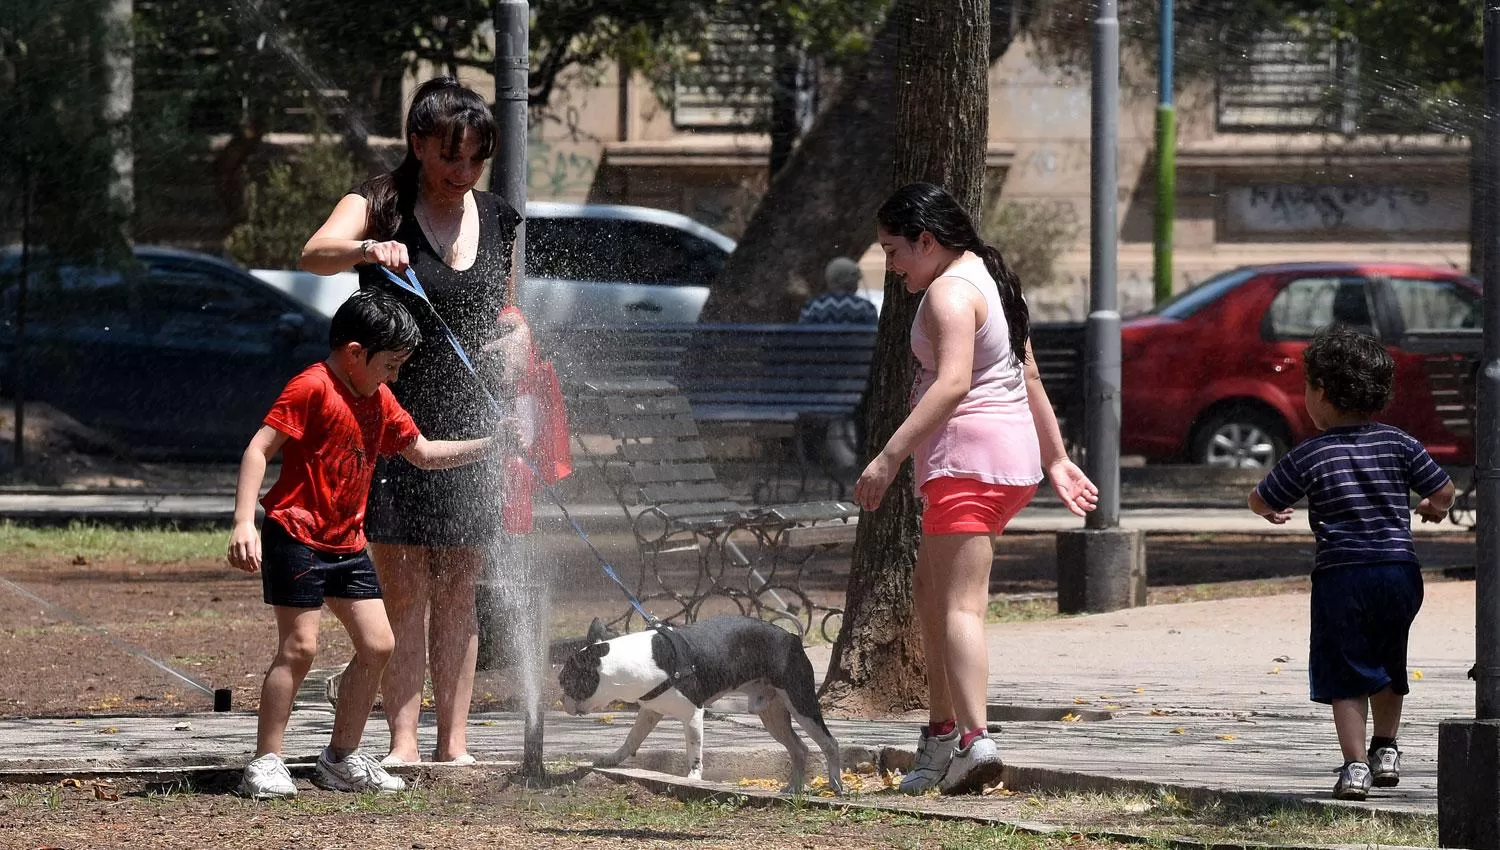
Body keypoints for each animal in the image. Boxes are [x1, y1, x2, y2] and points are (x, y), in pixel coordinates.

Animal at [564, 614, 846, 797]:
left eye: (567, 681)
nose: (562, 697)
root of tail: (792, 637)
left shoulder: (692, 713)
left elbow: (694, 750)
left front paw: (693, 778)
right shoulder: (650, 711)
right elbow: (632, 739)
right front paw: (613, 758)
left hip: (800, 702)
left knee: (829, 742)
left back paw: (835, 784)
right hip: (771, 714)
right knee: (799, 748)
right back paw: (792, 789)